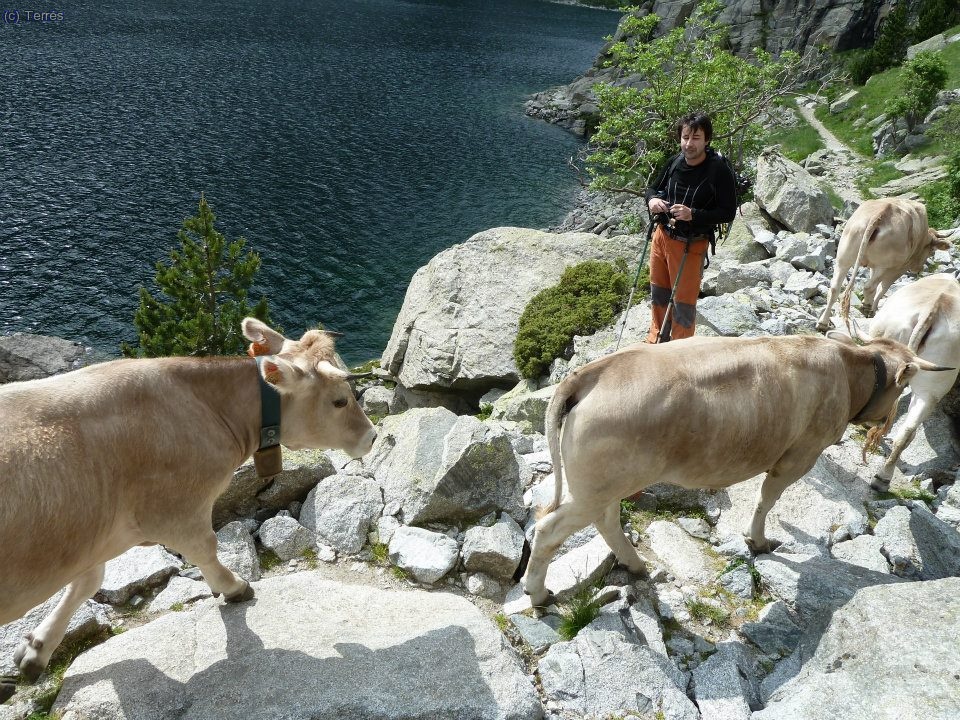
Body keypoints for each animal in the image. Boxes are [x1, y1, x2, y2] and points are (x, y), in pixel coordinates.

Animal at [0, 318, 376, 698]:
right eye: (340, 401)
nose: (372, 436)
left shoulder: (93, 537)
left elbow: (89, 582)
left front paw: (35, 650)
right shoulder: (179, 513)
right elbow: (206, 549)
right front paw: (234, 586)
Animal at [521, 333, 950, 607]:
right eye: (902, 388)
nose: (884, 421)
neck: (848, 370)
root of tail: (593, 372)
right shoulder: (801, 454)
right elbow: (767, 499)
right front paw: (757, 541)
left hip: (605, 484)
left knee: (607, 519)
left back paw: (635, 564)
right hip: (598, 486)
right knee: (549, 530)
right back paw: (539, 594)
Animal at [816, 198, 951, 332]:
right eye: (931, 251)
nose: (919, 269)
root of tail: (881, 213)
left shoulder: (873, 266)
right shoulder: (898, 268)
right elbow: (883, 288)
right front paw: (873, 308)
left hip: (844, 256)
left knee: (835, 288)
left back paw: (823, 323)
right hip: (884, 265)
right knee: (869, 286)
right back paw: (867, 307)